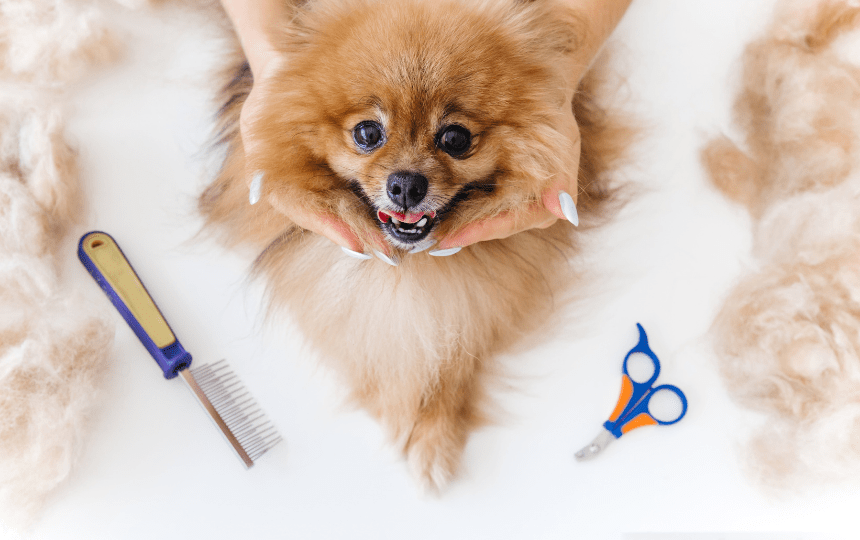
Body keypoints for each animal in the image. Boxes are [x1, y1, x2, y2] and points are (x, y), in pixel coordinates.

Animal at [205, 0, 628, 490]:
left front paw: (434, 436)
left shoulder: (477, 303)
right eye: (367, 133)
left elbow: (454, 353)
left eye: (455, 138)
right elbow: (377, 348)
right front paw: (401, 410)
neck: (413, 268)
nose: (406, 184)